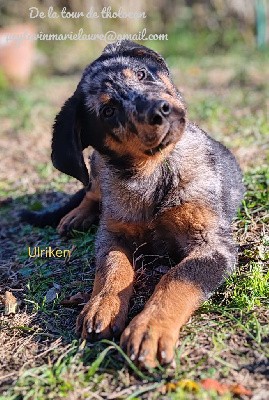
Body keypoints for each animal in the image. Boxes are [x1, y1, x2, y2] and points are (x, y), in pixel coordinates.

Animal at [22, 40, 244, 368]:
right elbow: (112, 267)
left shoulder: (213, 244)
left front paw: (150, 328)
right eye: (108, 111)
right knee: (91, 189)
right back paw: (76, 216)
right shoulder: (112, 233)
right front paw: (101, 306)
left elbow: (176, 277)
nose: (161, 110)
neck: (154, 172)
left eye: (141, 74)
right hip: (97, 164)